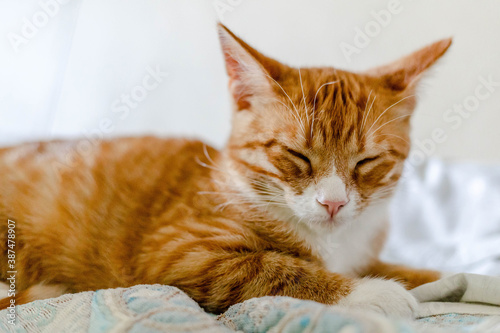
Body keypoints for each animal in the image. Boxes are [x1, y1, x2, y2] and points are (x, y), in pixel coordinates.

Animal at [0, 24, 452, 316]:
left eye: (367, 161)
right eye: (297, 155)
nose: (333, 203)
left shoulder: (363, 251)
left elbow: (412, 271)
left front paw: (449, 276)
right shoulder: (179, 250)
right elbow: (273, 268)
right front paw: (375, 292)